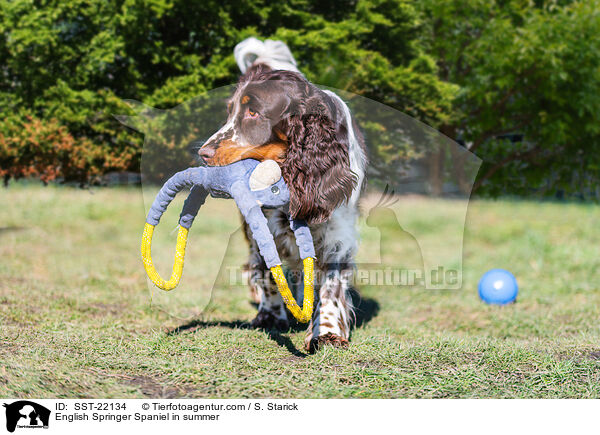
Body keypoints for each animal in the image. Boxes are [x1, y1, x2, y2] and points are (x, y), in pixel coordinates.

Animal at [198, 36, 366, 350]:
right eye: (230, 111)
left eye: (253, 112)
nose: (203, 153)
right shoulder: (262, 227)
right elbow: (268, 272)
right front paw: (271, 315)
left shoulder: (338, 234)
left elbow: (331, 284)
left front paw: (327, 331)